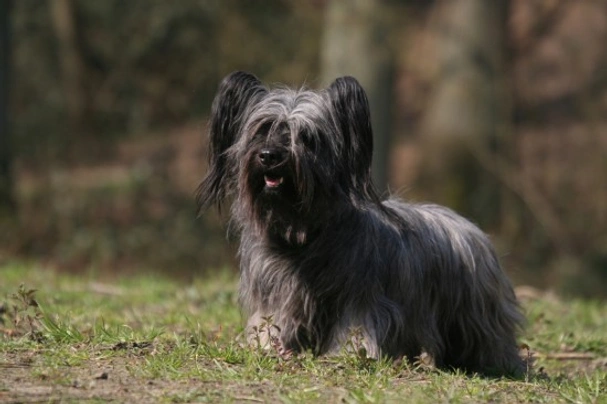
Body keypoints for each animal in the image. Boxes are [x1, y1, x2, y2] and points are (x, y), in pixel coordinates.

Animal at [196, 71, 528, 378]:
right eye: (262, 130)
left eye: (307, 137)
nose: (269, 156)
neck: (303, 236)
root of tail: (470, 227)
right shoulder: (275, 293)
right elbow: (269, 321)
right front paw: (265, 346)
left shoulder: (359, 296)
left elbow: (355, 324)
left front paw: (349, 354)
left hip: (474, 313)